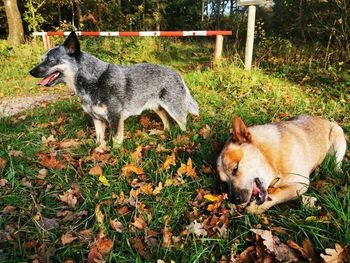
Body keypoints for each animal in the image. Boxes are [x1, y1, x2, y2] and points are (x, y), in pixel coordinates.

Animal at [29, 32, 200, 146]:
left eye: (50, 61)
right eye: (42, 59)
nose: (31, 72)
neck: (95, 79)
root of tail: (177, 73)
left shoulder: (115, 118)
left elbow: (116, 141)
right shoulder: (97, 119)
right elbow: (100, 141)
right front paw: (99, 153)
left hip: (175, 109)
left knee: (183, 124)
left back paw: (183, 139)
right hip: (157, 106)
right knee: (165, 118)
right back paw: (166, 132)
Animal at [217, 115, 346, 214]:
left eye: (235, 168)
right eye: (224, 181)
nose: (234, 200)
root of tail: (325, 120)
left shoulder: (301, 183)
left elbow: (279, 194)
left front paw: (257, 207)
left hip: (338, 139)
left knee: (336, 163)